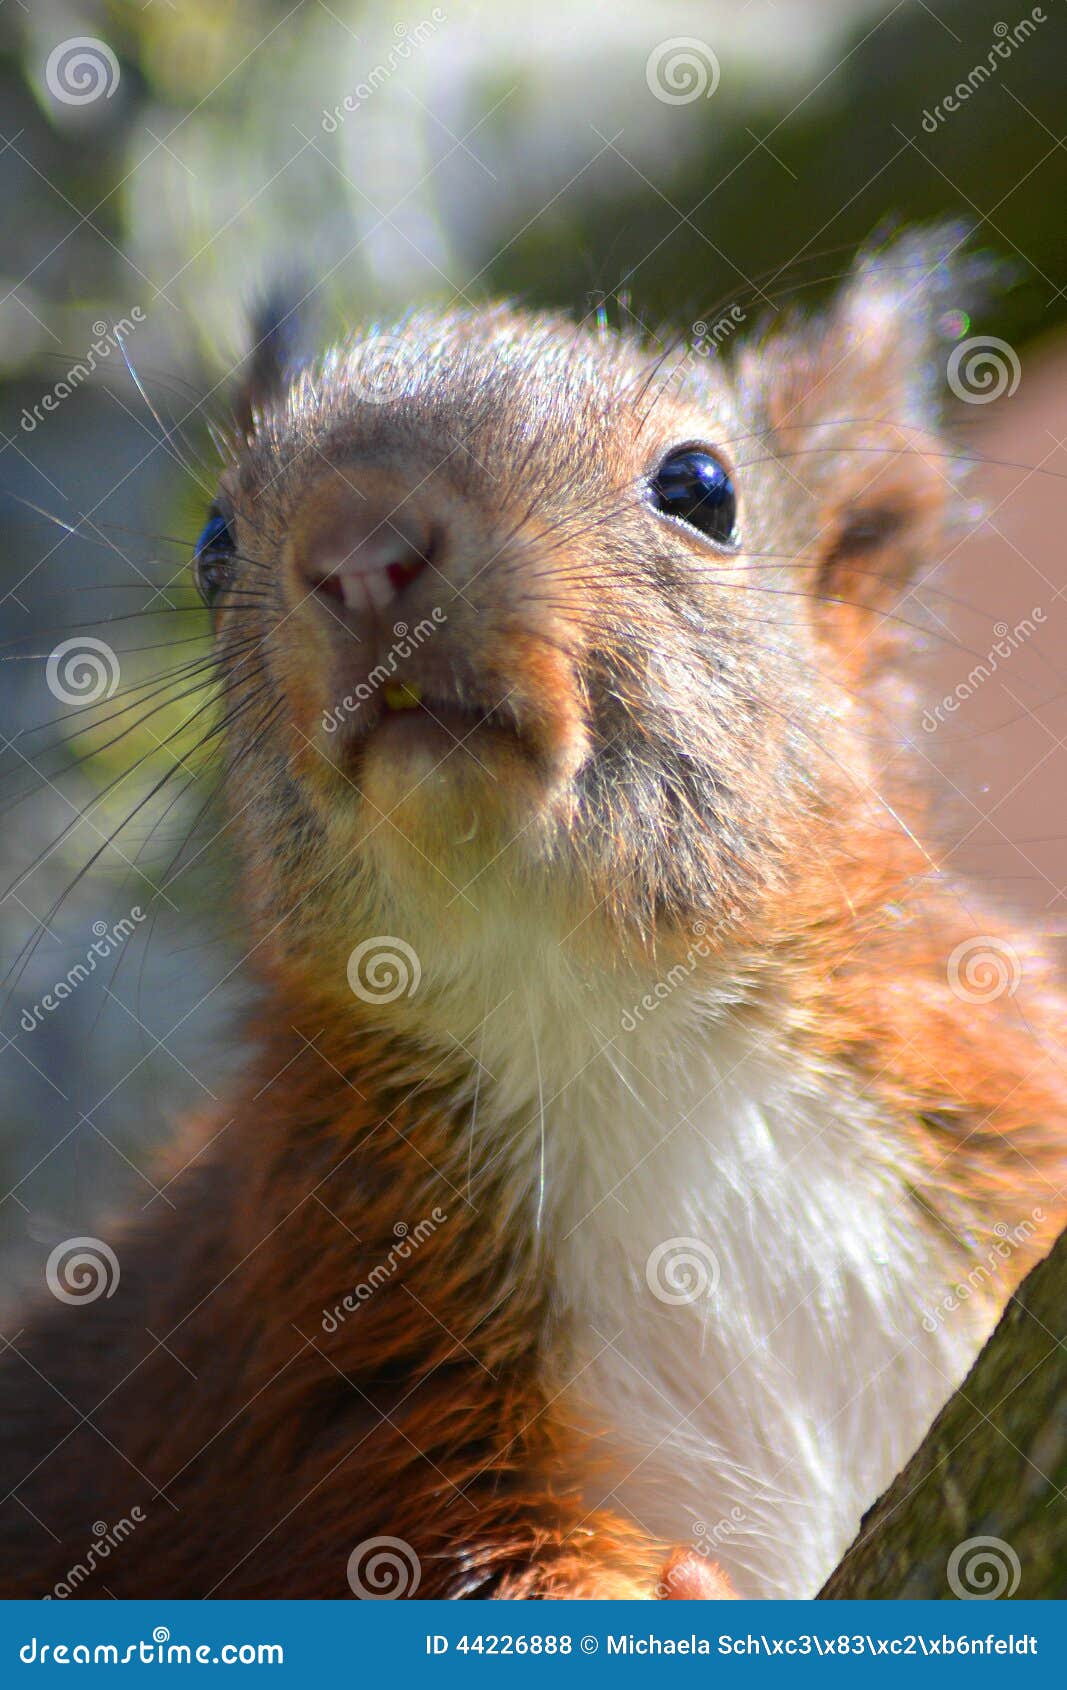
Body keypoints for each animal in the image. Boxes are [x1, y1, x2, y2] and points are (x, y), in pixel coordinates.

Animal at [0, 228, 1061, 1595]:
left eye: (700, 490)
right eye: (212, 544)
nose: (360, 549)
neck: (611, 1014)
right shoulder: (349, 1336)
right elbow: (464, 1543)